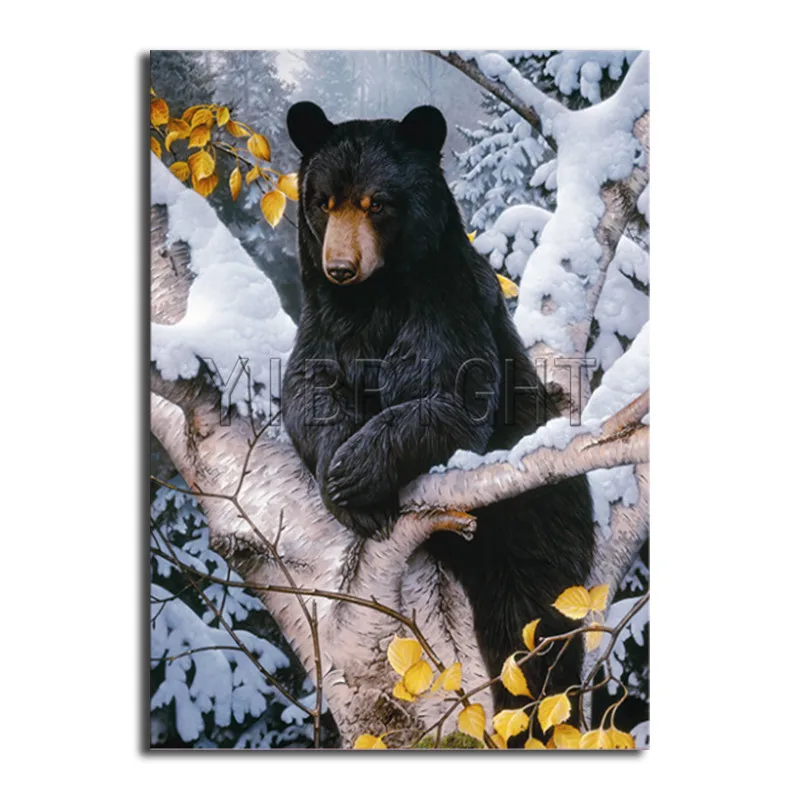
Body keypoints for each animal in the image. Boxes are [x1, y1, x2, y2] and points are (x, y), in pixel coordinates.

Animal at [281, 101, 596, 736]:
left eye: (377, 202)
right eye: (323, 201)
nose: (339, 266)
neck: (371, 301)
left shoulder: (445, 303)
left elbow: (449, 397)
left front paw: (356, 471)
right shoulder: (325, 322)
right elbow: (308, 389)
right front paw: (346, 484)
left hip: (539, 520)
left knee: (535, 631)